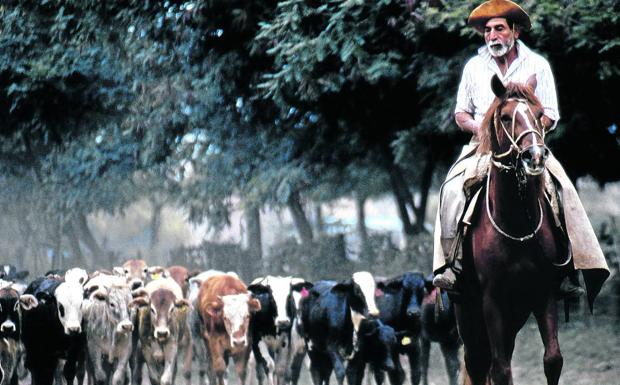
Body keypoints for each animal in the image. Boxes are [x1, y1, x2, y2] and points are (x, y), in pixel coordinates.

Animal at [458, 75, 568, 384]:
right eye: (506, 117)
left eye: (539, 114)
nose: (535, 156)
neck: (517, 226)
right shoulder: (492, 301)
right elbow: (500, 369)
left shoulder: (543, 293)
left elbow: (552, 359)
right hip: (469, 315)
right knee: (478, 363)